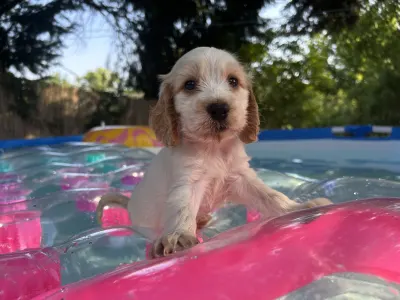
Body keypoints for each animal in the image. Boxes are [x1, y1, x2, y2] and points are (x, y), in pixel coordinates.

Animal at [97, 47, 332, 258]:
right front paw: (178, 236)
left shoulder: (240, 176)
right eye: (190, 84)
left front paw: (299, 208)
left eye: (233, 81)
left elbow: (270, 195)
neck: (214, 148)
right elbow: (182, 210)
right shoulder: (188, 182)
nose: (219, 108)